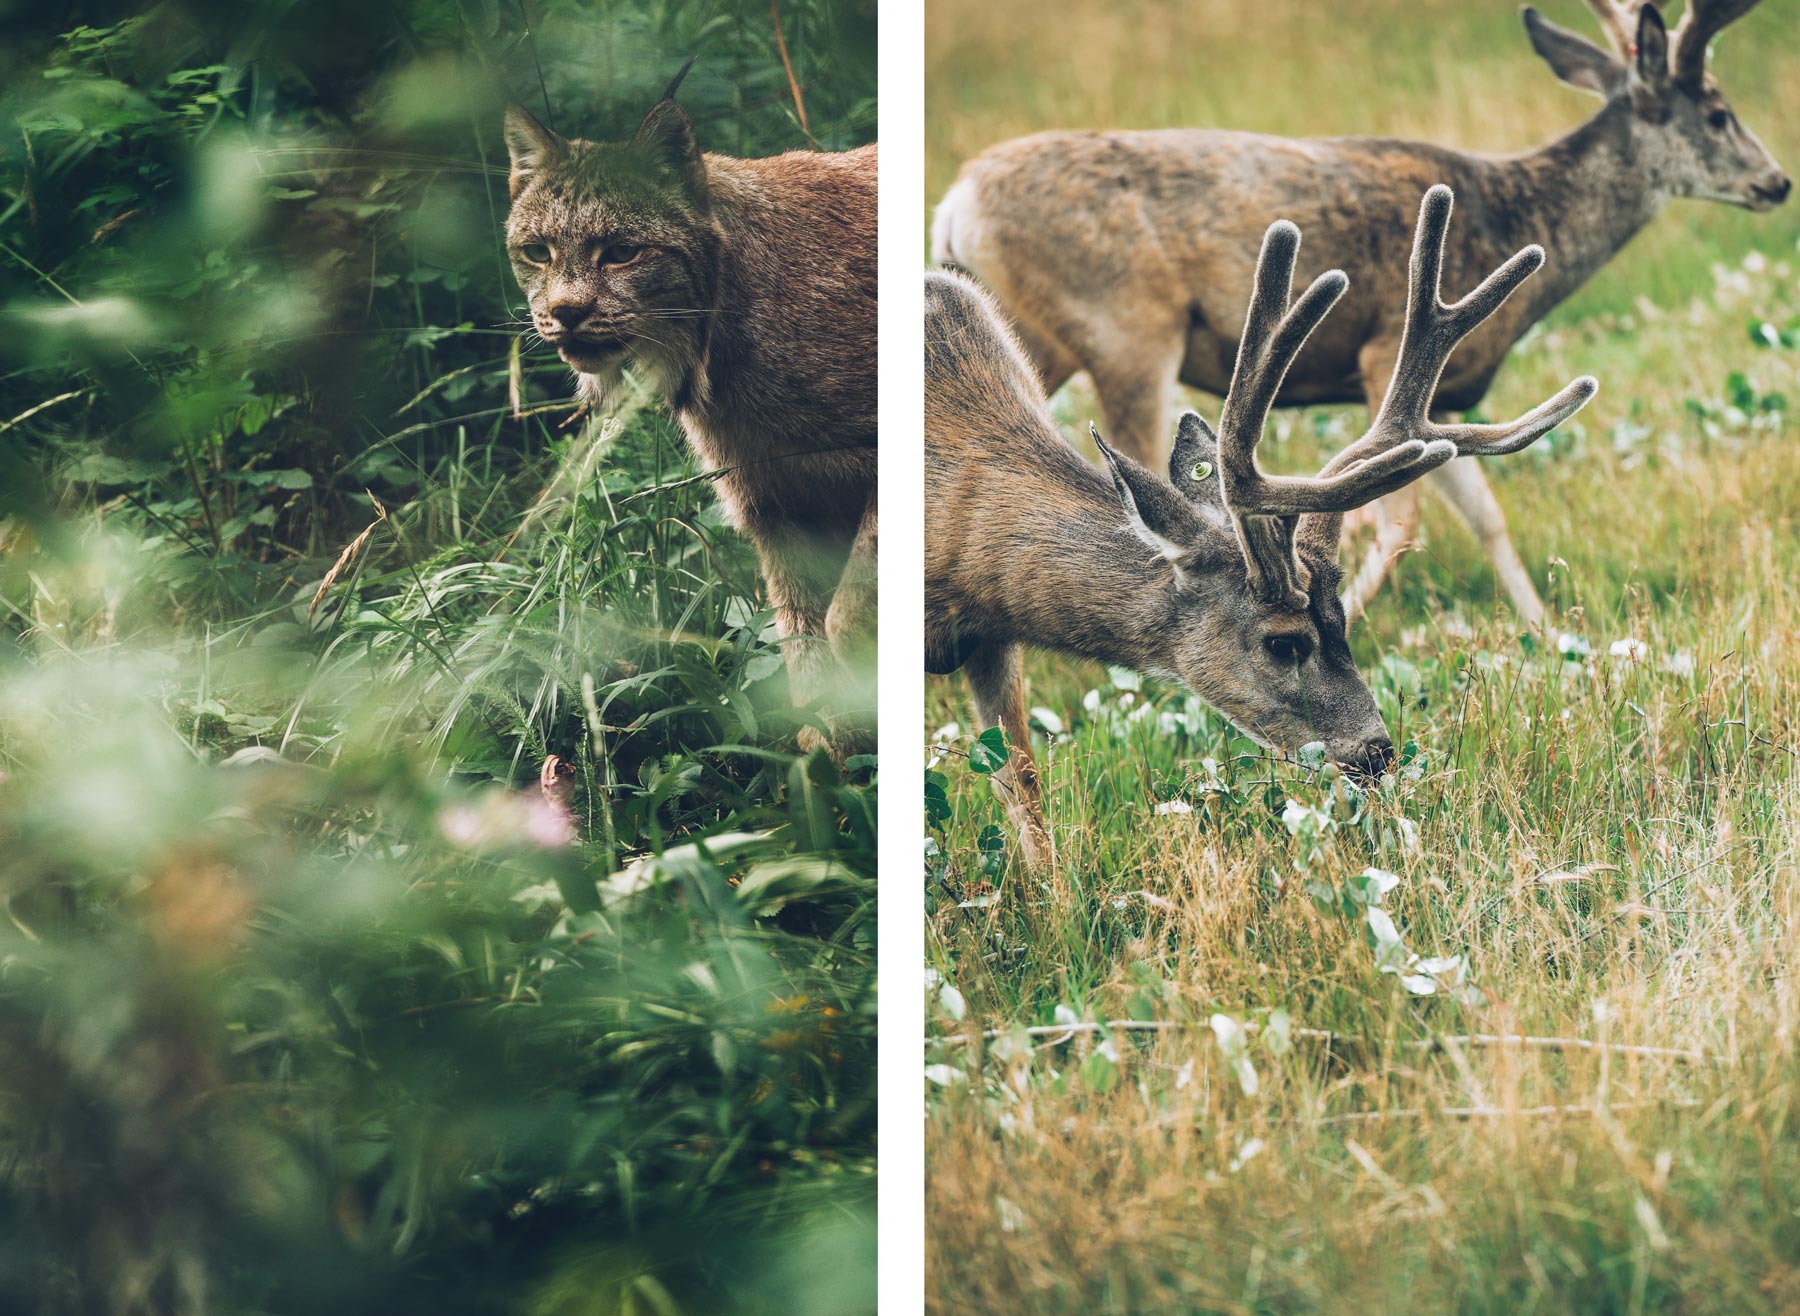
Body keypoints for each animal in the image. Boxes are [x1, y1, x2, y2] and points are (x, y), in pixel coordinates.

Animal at [921, 185, 1598, 864]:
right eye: (1284, 642)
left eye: (1343, 618)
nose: (1377, 752)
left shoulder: (992, 642)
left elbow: (1023, 786)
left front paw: (1048, 890)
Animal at [936, 0, 1792, 626]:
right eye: (1718, 112)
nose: (1778, 182)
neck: (1514, 218)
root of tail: (954, 205)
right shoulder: (1386, 351)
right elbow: (1400, 523)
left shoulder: (1440, 401)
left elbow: (1487, 515)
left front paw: (1549, 633)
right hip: (1128, 336)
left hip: (1040, 339)